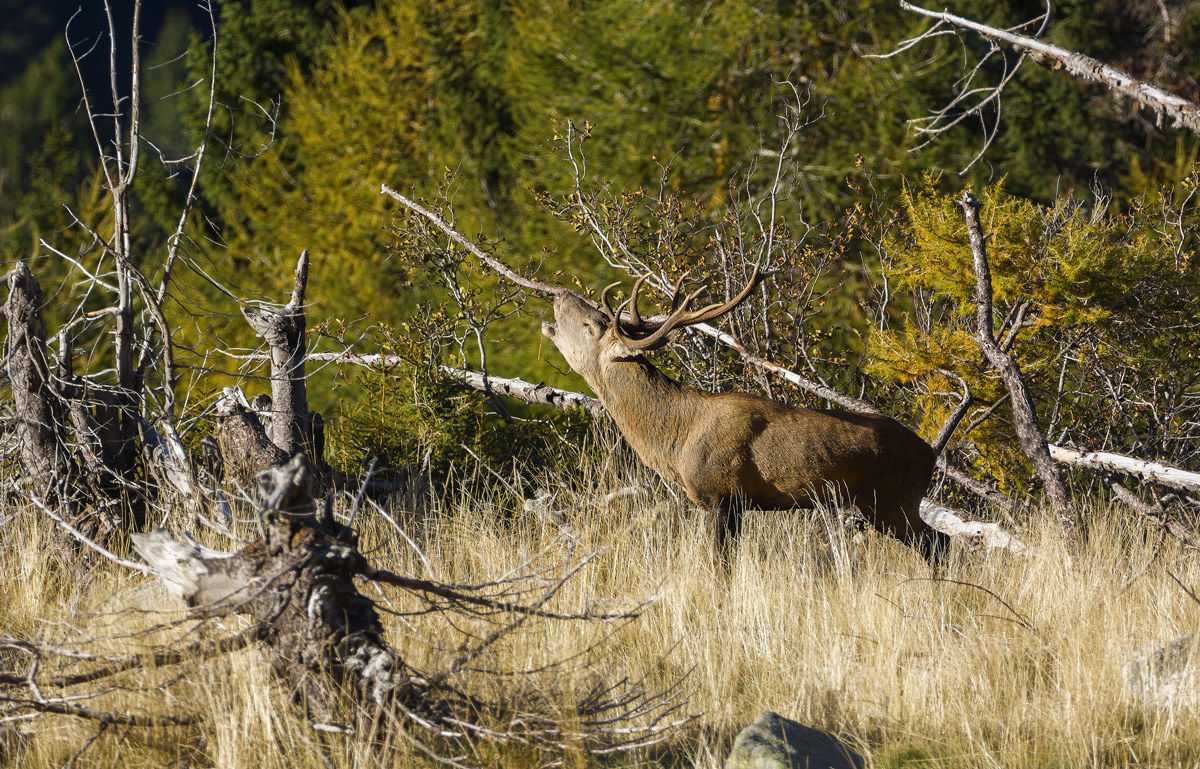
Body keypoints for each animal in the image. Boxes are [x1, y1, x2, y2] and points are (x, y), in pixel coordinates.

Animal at [540, 266, 949, 563]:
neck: (675, 438)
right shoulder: (736, 505)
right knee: (938, 543)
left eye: (591, 325)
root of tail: (930, 454)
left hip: (893, 501)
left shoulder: (722, 495)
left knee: (939, 544)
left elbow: (719, 566)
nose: (559, 295)